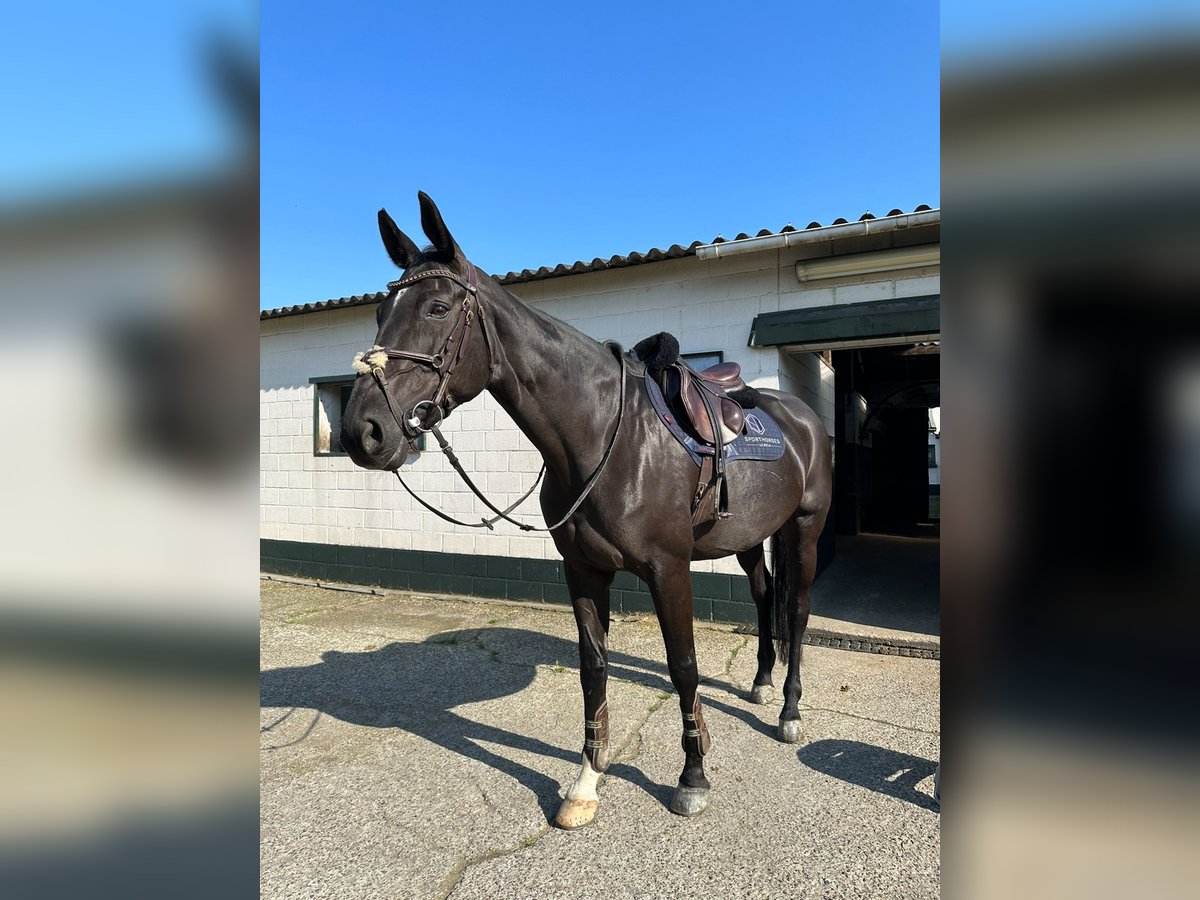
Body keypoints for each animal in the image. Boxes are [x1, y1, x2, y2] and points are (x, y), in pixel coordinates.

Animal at [340, 192, 835, 830]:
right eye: (380, 311)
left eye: (438, 306)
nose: (362, 431)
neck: (602, 436)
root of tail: (802, 418)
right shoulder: (583, 570)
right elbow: (593, 667)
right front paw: (586, 782)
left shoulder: (668, 569)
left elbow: (683, 665)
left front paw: (693, 777)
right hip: (749, 537)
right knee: (763, 594)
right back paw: (761, 682)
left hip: (804, 528)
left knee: (795, 608)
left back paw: (789, 711)